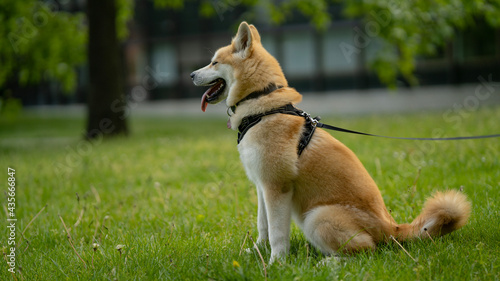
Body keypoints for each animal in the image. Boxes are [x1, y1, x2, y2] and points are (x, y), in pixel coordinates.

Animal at [189, 21, 470, 262]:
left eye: (214, 62)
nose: (191, 74)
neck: (262, 106)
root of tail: (392, 229)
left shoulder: (276, 188)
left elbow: (278, 234)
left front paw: (276, 263)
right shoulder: (262, 187)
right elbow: (263, 227)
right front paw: (257, 252)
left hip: (316, 217)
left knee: (366, 250)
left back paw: (327, 264)